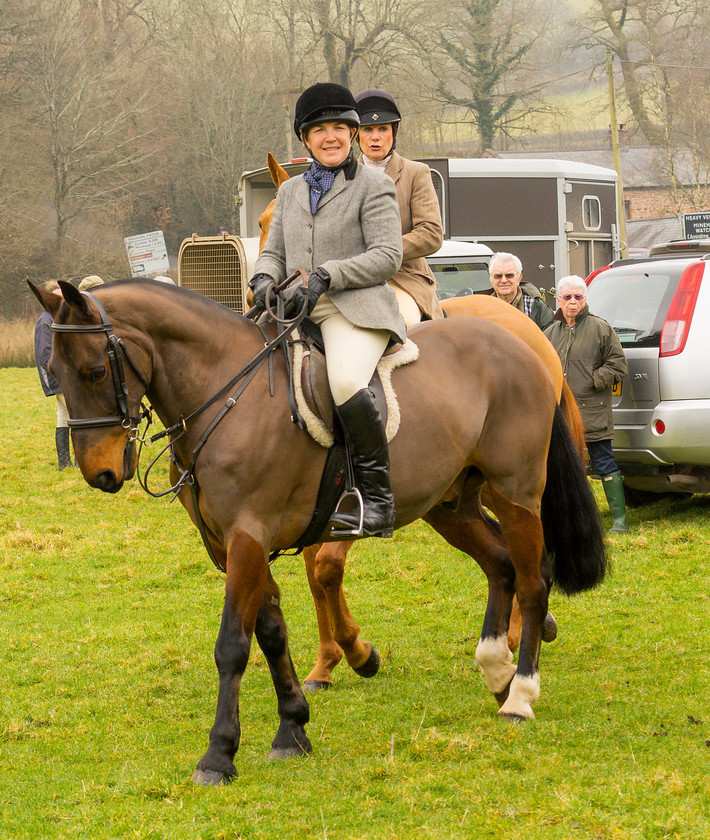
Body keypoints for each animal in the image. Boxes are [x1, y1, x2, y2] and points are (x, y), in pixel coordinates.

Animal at [29, 270, 608, 788]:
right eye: (52, 369)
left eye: (94, 372)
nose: (100, 474)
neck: (227, 394)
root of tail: (526, 345)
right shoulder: (232, 545)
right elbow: (271, 632)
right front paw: (292, 729)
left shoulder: (248, 536)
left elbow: (233, 644)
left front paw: (218, 755)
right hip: (451, 505)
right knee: (501, 565)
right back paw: (496, 670)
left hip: (515, 493)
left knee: (532, 580)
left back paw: (521, 694)